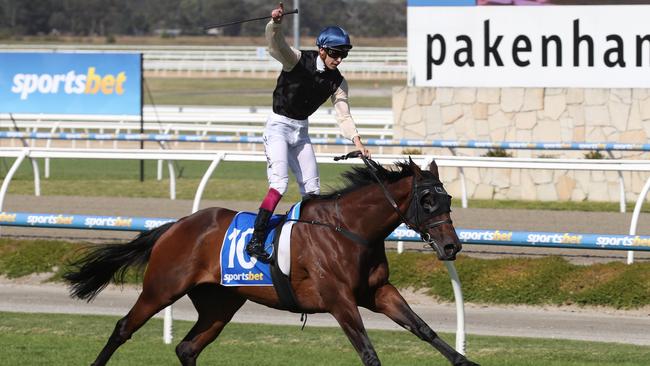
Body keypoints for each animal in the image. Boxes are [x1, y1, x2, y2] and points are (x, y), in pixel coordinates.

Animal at [64, 155, 476, 366]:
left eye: (447, 200)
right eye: (426, 200)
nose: (452, 247)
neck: (349, 229)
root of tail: (177, 225)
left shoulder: (377, 292)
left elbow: (423, 328)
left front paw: (464, 361)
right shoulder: (339, 299)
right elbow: (368, 352)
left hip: (220, 303)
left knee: (187, 348)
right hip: (162, 288)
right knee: (123, 328)